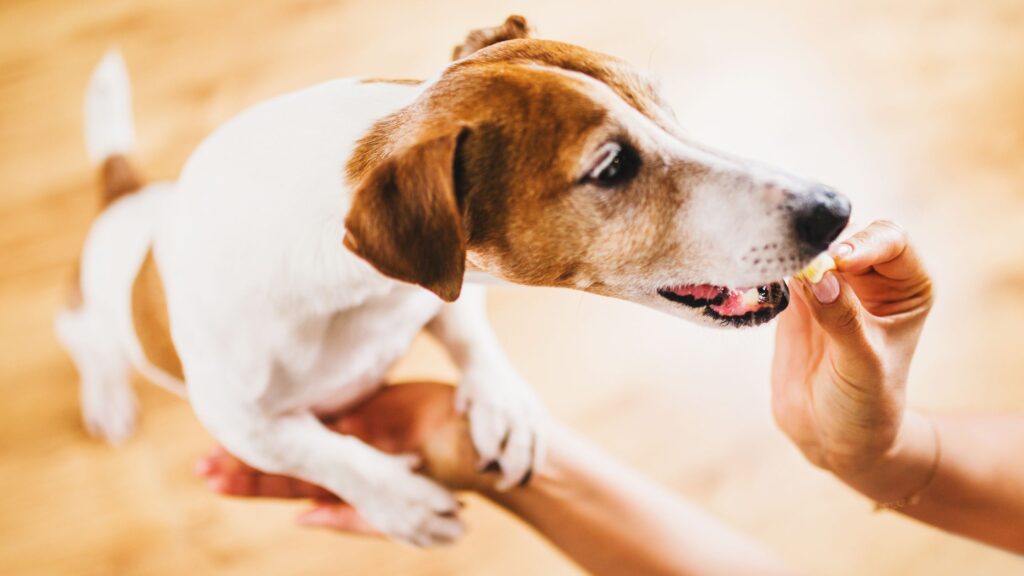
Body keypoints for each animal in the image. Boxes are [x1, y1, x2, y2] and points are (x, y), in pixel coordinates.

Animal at [59, 17, 851, 545]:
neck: (357, 296)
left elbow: (469, 333)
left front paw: (505, 406)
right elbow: (319, 450)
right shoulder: (237, 419)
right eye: (612, 167)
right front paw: (400, 501)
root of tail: (125, 197)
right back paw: (106, 397)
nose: (835, 208)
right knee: (85, 343)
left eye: (667, 107)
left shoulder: (436, 289)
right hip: (91, 319)